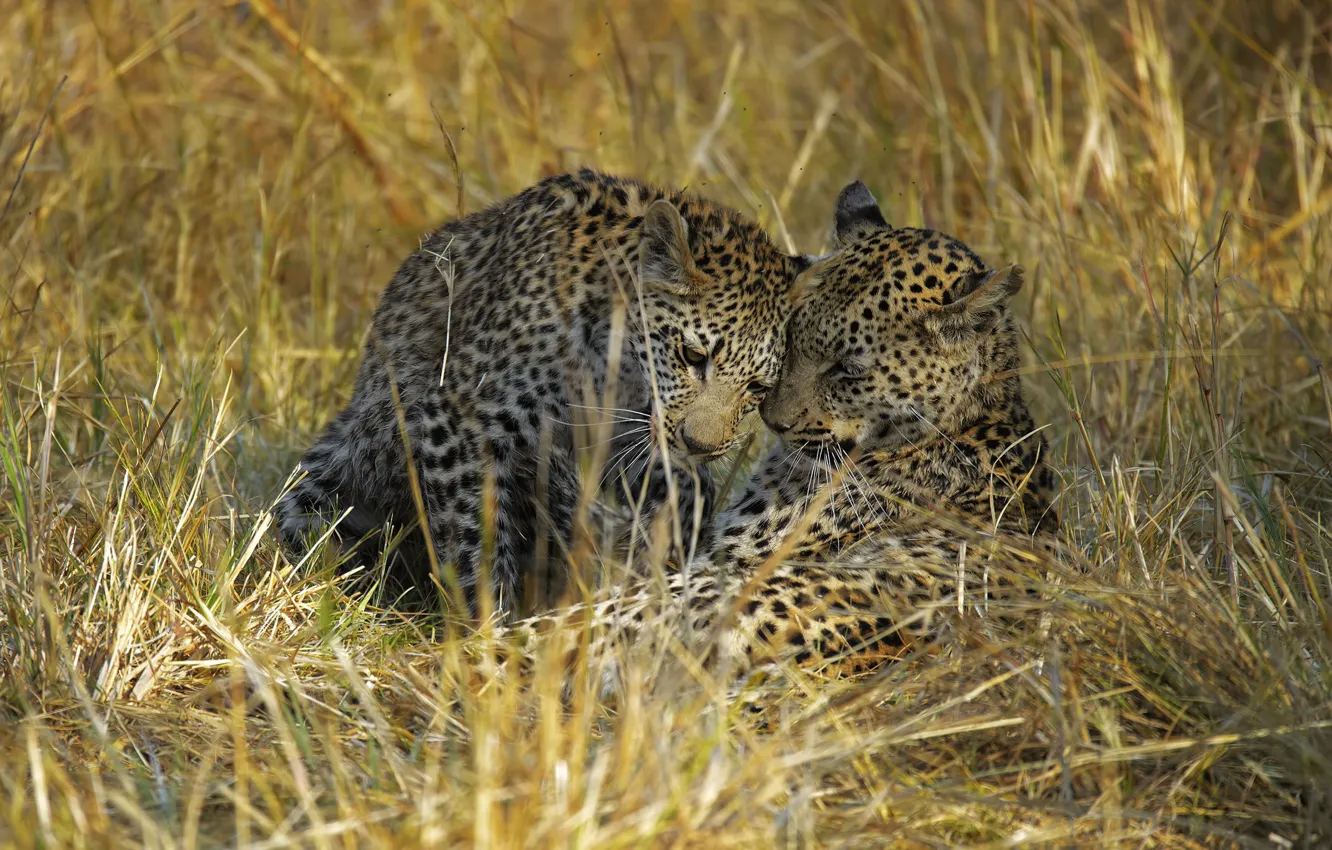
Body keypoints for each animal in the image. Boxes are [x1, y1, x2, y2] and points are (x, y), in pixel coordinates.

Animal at [276, 168, 815, 614]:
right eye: (692, 355)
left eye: (758, 386)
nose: (701, 445)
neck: (616, 363)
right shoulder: (458, 417)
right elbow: (476, 531)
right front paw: (488, 627)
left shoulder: (628, 440)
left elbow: (687, 491)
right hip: (327, 479)